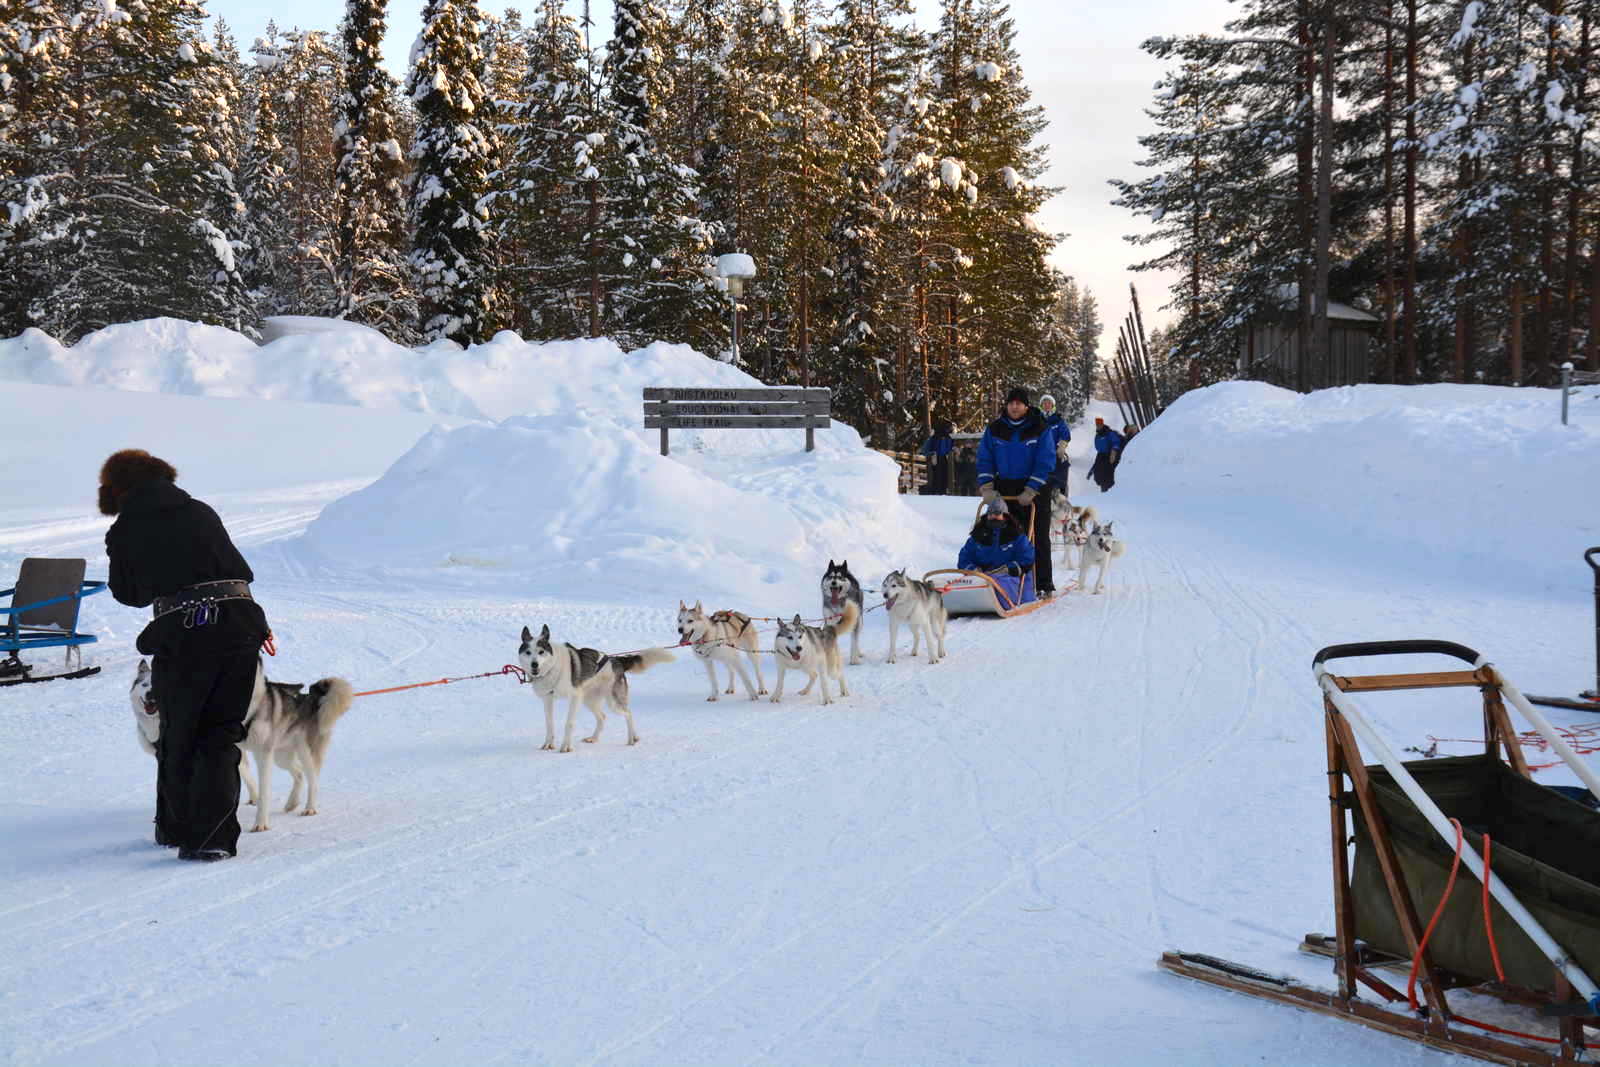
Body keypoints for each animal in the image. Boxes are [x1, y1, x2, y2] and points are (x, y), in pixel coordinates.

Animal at [515, 620, 672, 755]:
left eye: (541, 651)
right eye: (528, 652)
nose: (534, 664)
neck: (553, 667)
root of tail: (616, 660)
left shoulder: (574, 697)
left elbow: (569, 723)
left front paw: (566, 746)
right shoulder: (548, 699)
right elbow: (549, 724)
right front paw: (548, 744)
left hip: (612, 702)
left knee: (628, 713)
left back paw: (632, 738)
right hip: (589, 701)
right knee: (602, 717)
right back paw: (594, 738)